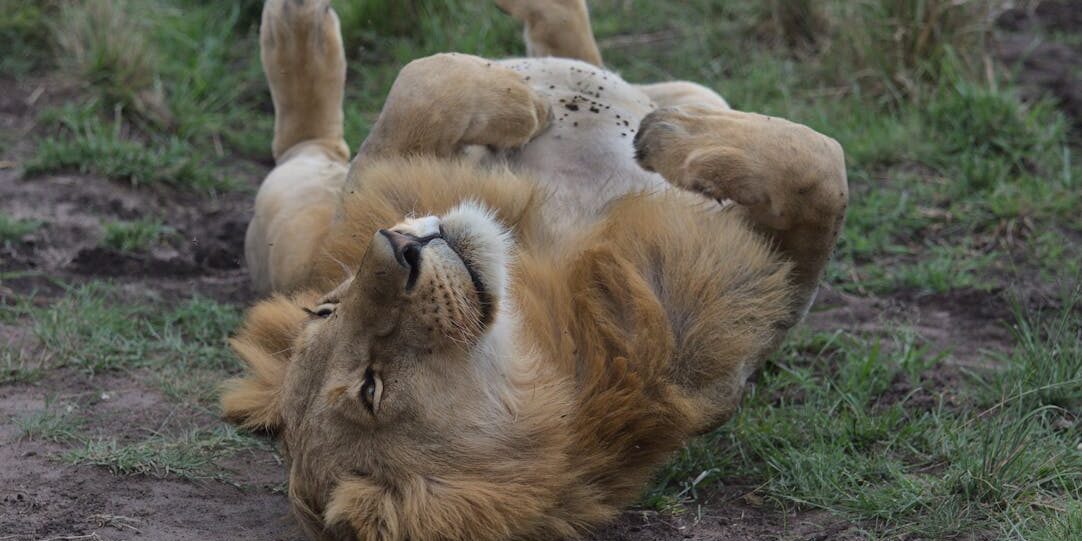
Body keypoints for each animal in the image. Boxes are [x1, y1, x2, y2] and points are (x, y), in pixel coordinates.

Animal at [219, 1, 848, 539]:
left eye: (325, 309)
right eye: (371, 387)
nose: (396, 247)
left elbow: (421, 78)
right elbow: (824, 173)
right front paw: (569, 115)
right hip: (288, 215)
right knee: (304, 146)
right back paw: (297, 25)